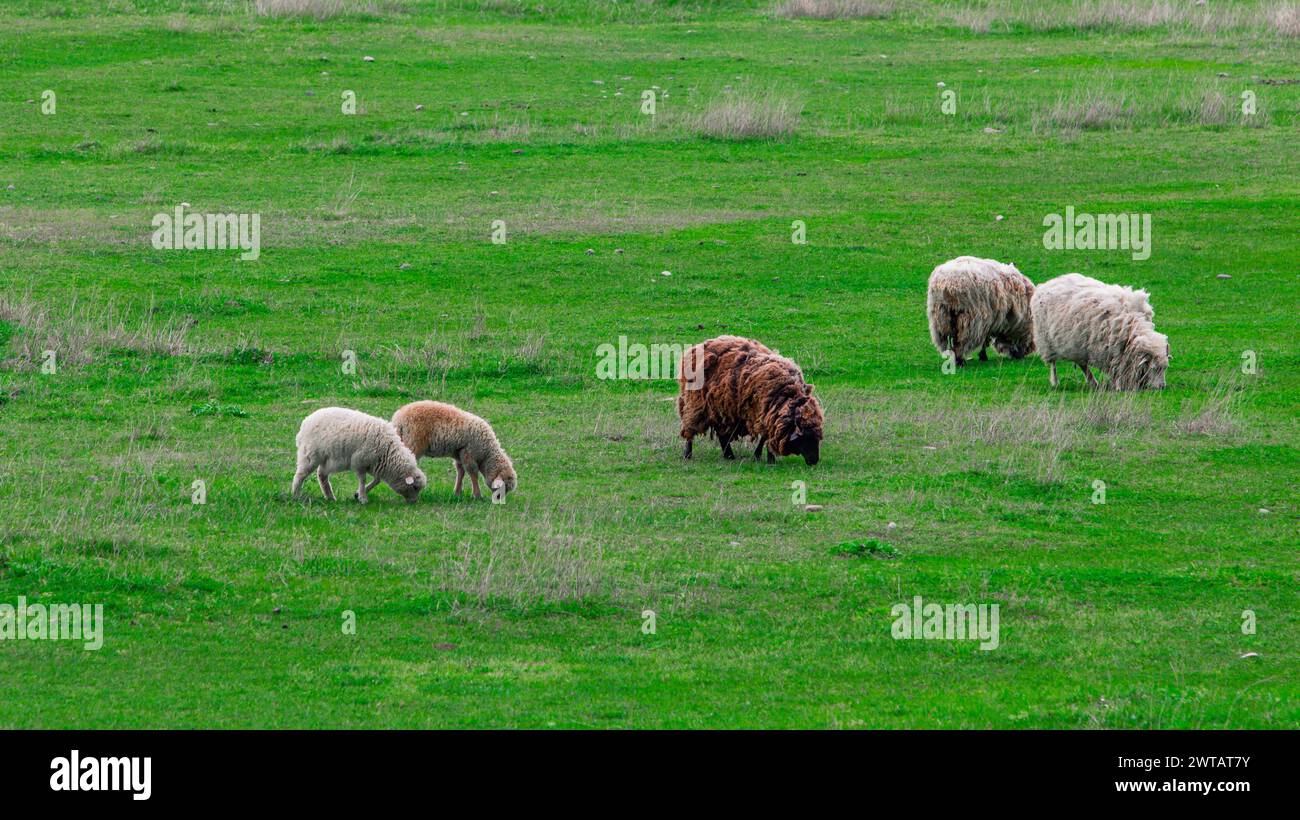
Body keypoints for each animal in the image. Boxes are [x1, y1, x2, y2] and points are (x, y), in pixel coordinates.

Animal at [291, 408, 426, 504]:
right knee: (300, 475)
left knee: (321, 475)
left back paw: (330, 497)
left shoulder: (374, 464)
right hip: (310, 455)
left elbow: (377, 480)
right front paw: (363, 498)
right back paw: (295, 495)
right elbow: (362, 480)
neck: (388, 452)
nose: (414, 502)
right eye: (415, 487)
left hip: (328, 459)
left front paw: (359, 494)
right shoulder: (360, 462)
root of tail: (306, 422)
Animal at [377, 400, 517, 501]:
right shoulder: (469, 453)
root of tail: (398, 418)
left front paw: (457, 492)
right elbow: (473, 474)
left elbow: (461, 471)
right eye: (504, 486)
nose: (499, 499)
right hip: (413, 441)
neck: (486, 453)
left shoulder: (459, 453)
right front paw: (477, 495)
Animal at [681, 335, 821, 467]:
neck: (787, 393)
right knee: (690, 427)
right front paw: (766, 458)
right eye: (805, 438)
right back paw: (688, 454)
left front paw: (762, 457)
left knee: (722, 434)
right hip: (696, 403)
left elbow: (765, 437)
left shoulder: (766, 415)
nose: (814, 461)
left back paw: (729, 455)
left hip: (722, 409)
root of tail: (697, 347)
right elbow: (766, 437)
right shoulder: (763, 412)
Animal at [1029, 272, 1175, 392]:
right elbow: (1116, 368)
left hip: (1078, 344)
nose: (1162, 387)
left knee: (1082, 364)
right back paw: (1055, 382)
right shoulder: (1112, 351)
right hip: (1046, 341)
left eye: (1165, 367)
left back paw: (1093, 382)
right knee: (1053, 364)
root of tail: (1048, 283)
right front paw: (1119, 386)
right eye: (1154, 368)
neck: (1133, 326)